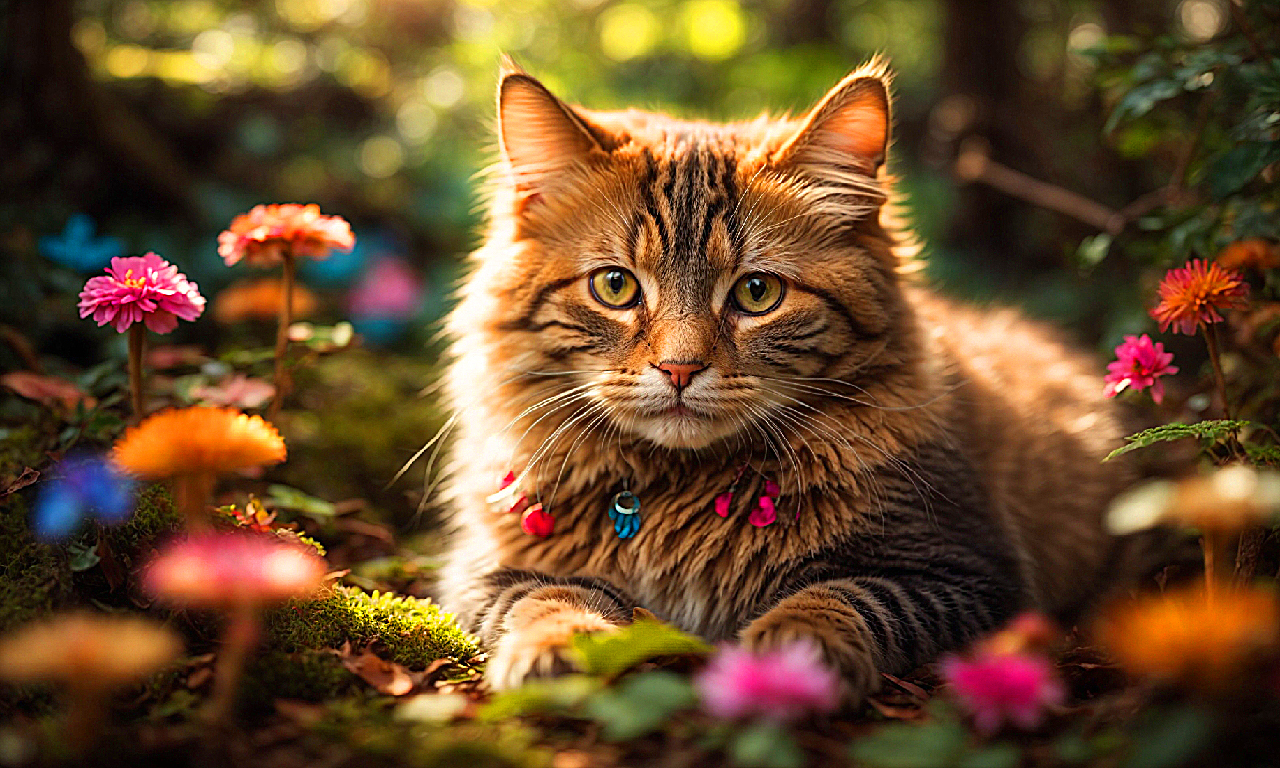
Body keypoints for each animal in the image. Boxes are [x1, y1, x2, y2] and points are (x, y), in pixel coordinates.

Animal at [437, 56, 1131, 701]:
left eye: (757, 293)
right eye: (615, 286)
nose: (679, 368)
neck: (676, 492)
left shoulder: (959, 571)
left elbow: (835, 599)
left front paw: (792, 657)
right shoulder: (483, 571)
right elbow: (550, 599)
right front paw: (560, 649)